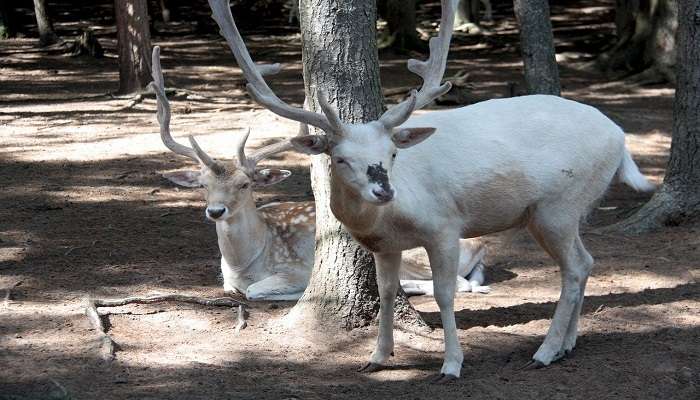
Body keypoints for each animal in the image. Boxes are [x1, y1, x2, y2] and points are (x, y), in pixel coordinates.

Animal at [147, 46, 490, 300]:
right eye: (203, 185)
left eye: (245, 184)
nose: (216, 211)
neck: (242, 263)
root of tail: (478, 241)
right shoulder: (227, 280)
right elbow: (233, 289)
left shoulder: (294, 268)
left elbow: (254, 291)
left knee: (458, 283)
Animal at [206, 0, 656, 382]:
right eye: (341, 159)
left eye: (391, 152)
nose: (384, 191)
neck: (388, 220)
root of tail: (619, 138)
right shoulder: (384, 245)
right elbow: (388, 293)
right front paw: (376, 357)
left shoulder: (445, 228)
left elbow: (444, 294)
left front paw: (451, 365)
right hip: (568, 209)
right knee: (585, 262)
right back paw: (567, 345)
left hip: (557, 207)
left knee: (576, 266)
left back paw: (545, 352)